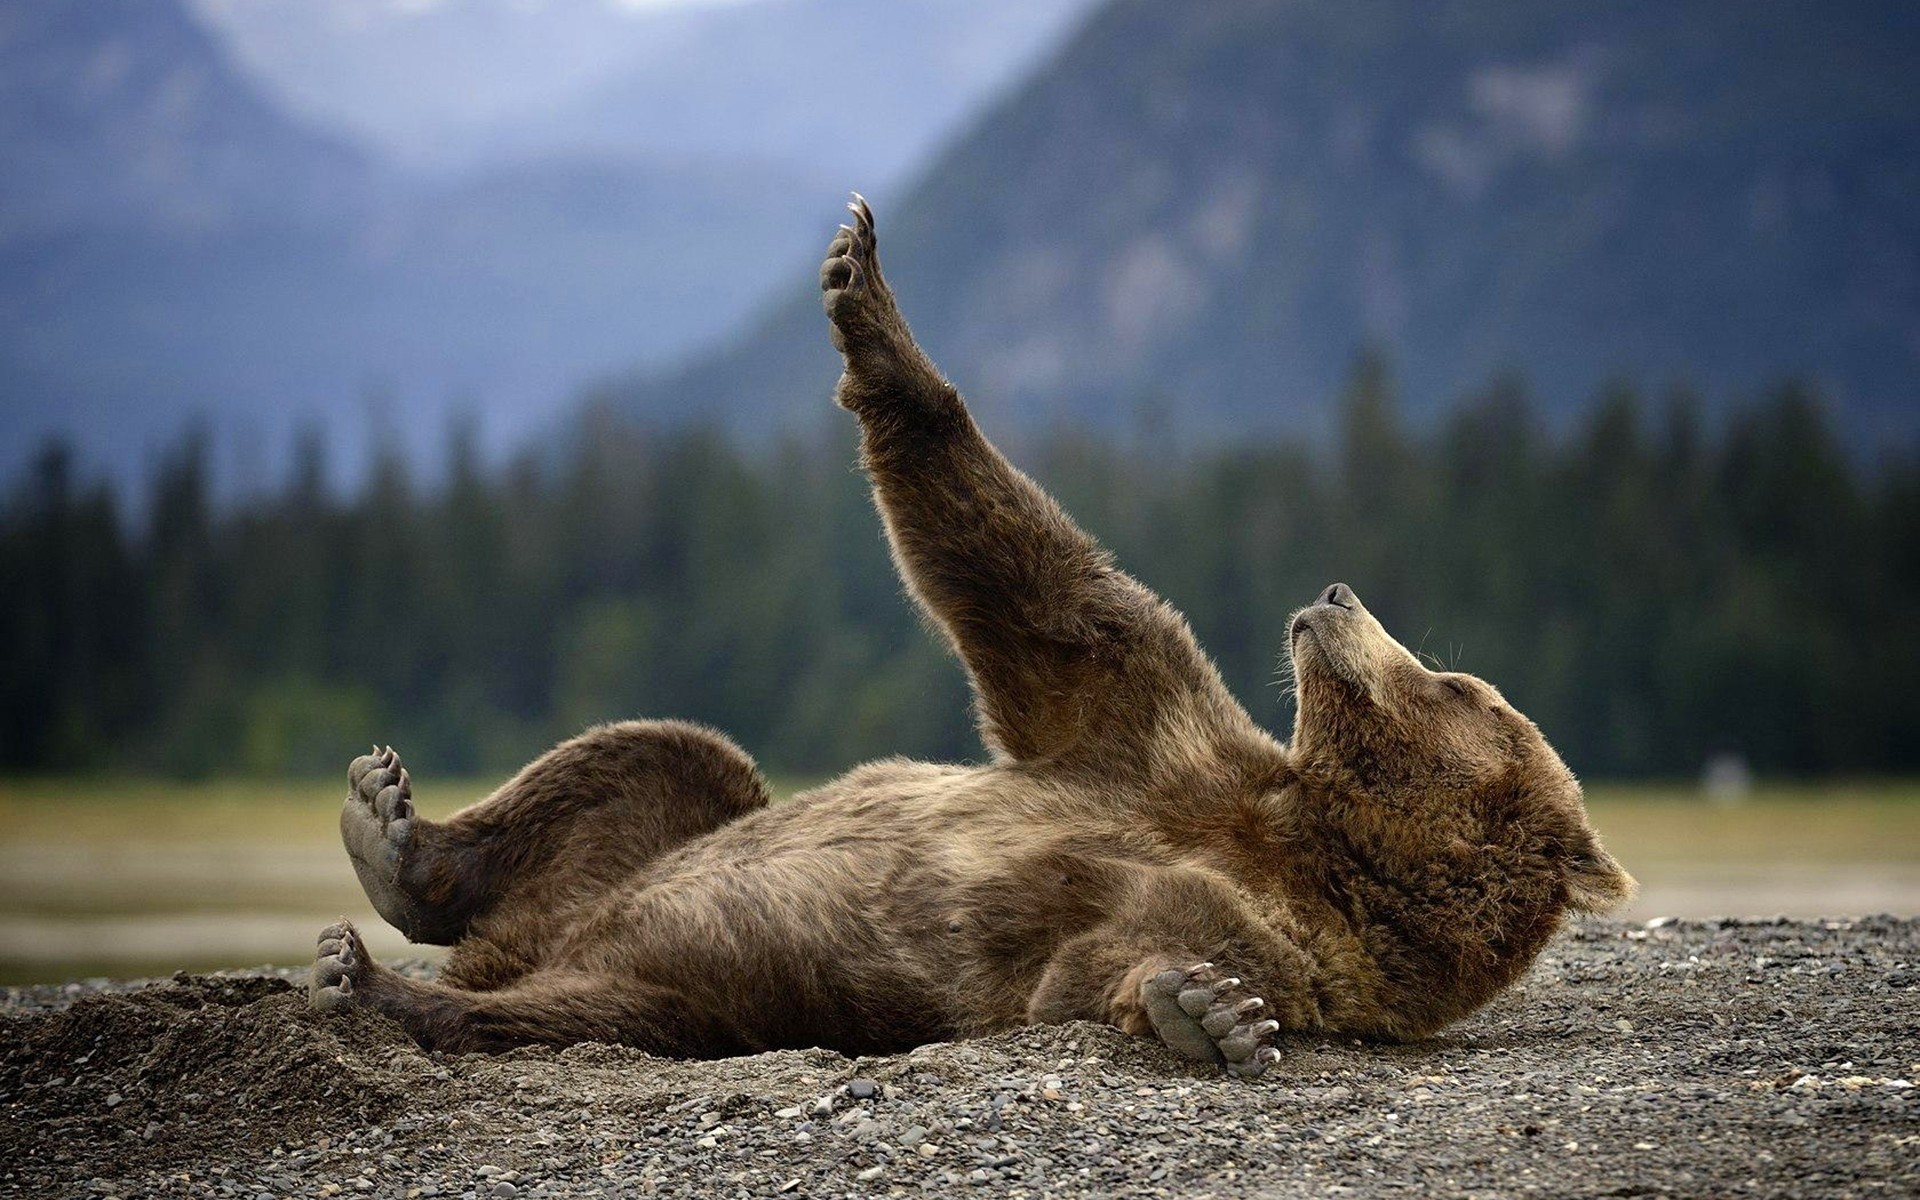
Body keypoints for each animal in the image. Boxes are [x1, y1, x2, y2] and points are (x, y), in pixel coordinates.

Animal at [314, 196, 1635, 1075]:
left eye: (1460, 686)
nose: (1341, 595)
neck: (1313, 838)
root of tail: (528, 945)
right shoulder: (1151, 728)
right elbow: (1037, 590)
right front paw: (861, 286)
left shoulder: (1289, 936)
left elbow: (1105, 961)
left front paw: (1205, 1010)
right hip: (654, 849)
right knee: (669, 759)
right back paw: (393, 834)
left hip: (706, 990)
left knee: (586, 1010)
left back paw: (380, 984)